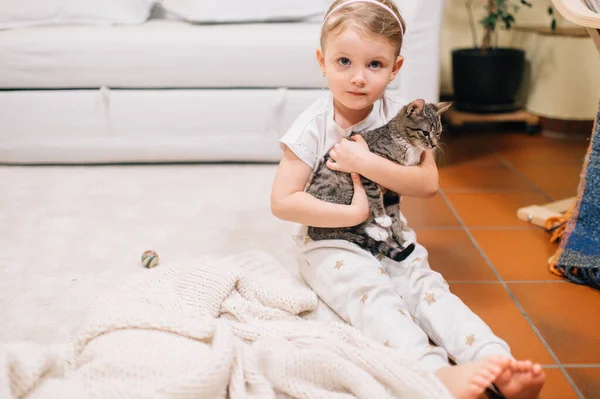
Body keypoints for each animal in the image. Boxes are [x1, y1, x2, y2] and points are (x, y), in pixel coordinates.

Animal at [304, 99, 450, 262]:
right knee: (339, 226)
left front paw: (399, 236)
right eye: (425, 132)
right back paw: (373, 231)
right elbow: (375, 193)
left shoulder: (394, 187)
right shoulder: (367, 166)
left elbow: (395, 212)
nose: (434, 145)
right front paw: (382, 217)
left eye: (438, 133)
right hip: (341, 196)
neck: (408, 146)